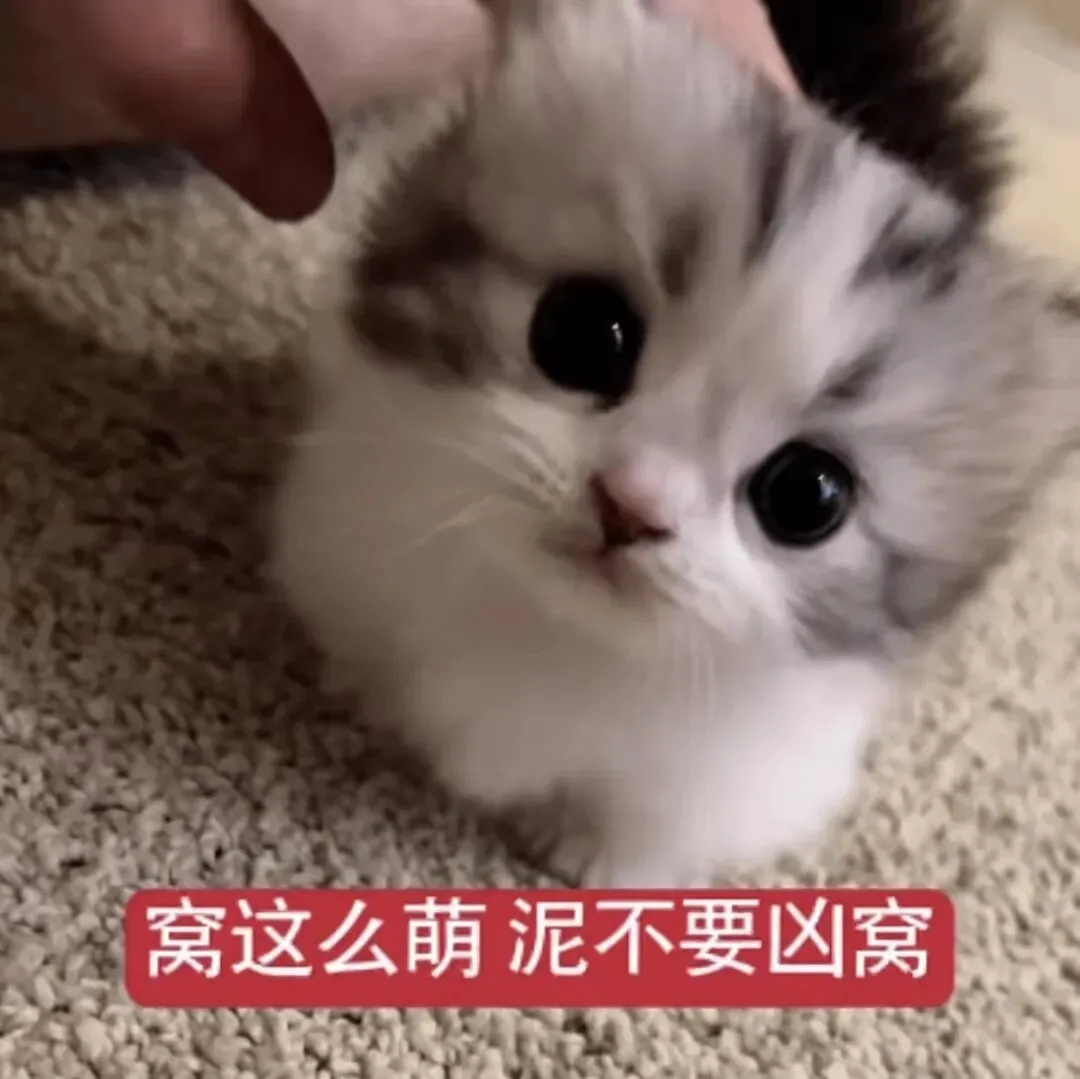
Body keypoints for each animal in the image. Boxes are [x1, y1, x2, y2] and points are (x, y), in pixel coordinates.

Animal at [269, 0, 1080, 886]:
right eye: (582, 333)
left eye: (807, 496)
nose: (630, 504)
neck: (553, 628)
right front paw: (368, 692)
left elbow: (650, 820)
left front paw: (597, 850)